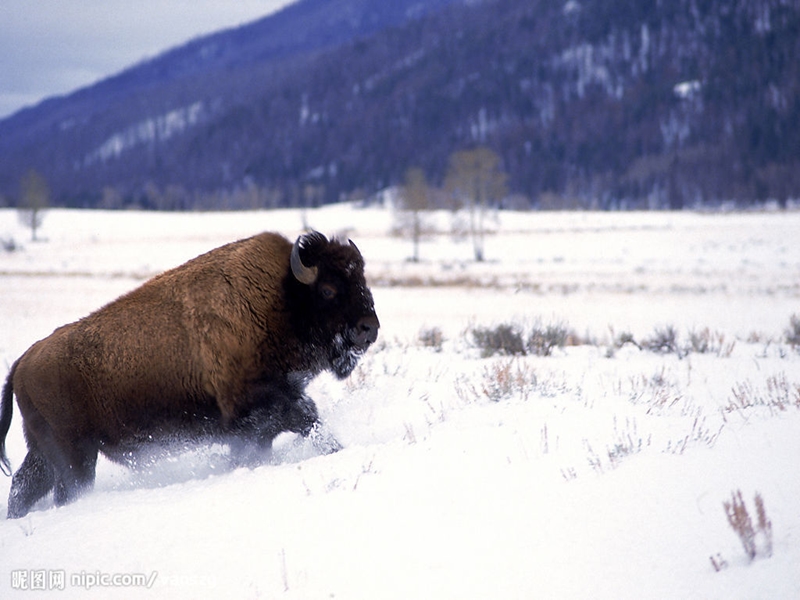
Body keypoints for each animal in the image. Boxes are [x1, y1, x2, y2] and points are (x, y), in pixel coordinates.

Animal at [0, 227, 380, 516]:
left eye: (363, 280)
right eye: (328, 289)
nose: (369, 328)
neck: (282, 299)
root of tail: (23, 362)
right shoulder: (257, 408)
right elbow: (307, 419)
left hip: (46, 454)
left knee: (23, 485)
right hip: (75, 456)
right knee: (63, 491)